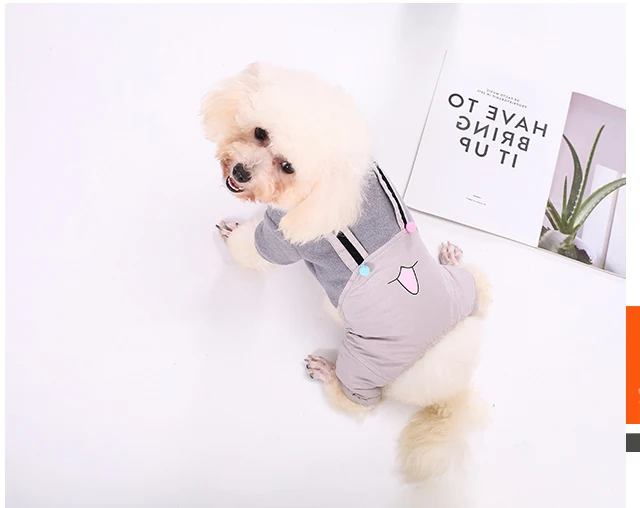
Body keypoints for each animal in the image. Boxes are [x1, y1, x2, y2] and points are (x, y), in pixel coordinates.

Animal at [202, 62, 492, 482]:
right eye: (260, 133)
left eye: (287, 167)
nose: (240, 172)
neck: (329, 193)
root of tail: (448, 391)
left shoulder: (281, 240)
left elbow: (252, 248)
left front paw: (232, 234)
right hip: (463, 294)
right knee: (484, 292)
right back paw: (454, 261)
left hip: (364, 363)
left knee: (362, 404)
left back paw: (327, 373)